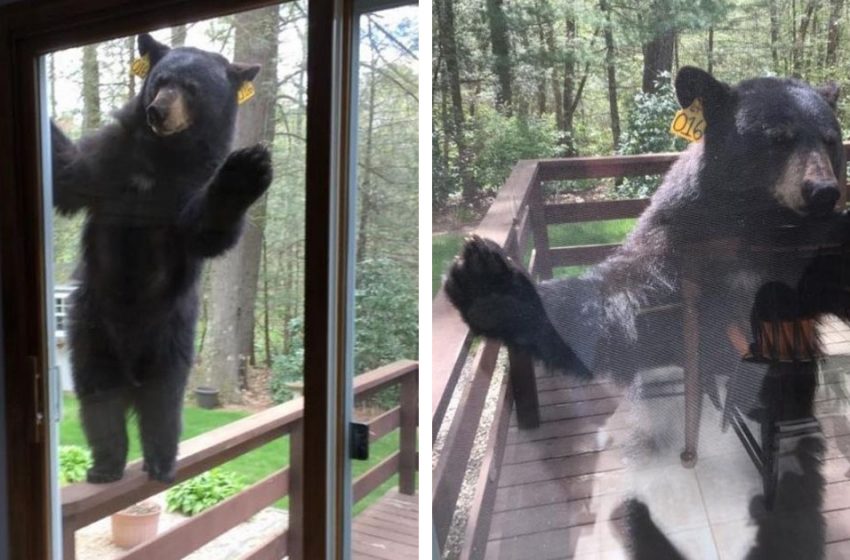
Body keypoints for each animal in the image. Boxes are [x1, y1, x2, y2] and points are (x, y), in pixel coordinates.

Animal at [52, 32, 272, 484]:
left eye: (192, 88)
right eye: (159, 81)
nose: (158, 111)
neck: (162, 158)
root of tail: (131, 366)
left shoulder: (189, 186)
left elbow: (206, 231)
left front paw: (247, 168)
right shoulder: (111, 160)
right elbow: (70, 175)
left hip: (172, 335)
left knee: (163, 403)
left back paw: (161, 461)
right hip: (91, 328)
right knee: (98, 397)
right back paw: (106, 464)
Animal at [444, 66, 848, 402]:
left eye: (830, 139)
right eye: (778, 138)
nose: (823, 191)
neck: (755, 227)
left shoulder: (807, 250)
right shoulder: (679, 242)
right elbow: (625, 307)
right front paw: (486, 278)